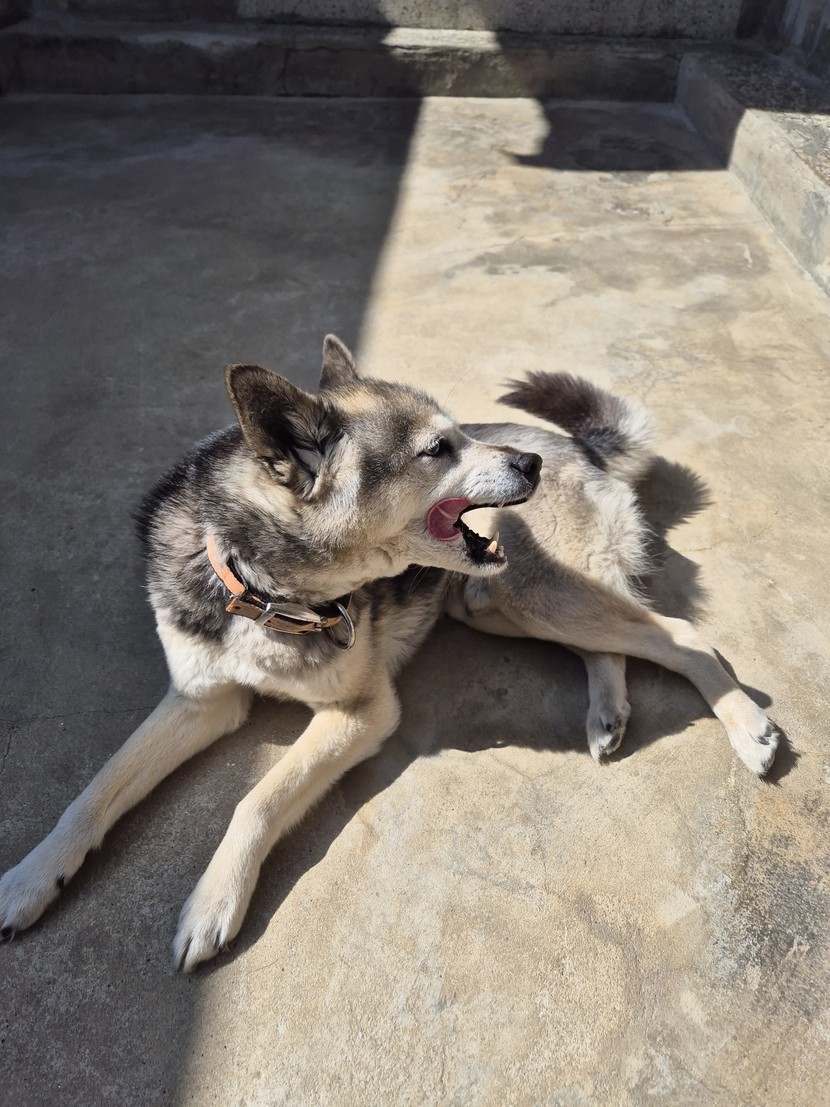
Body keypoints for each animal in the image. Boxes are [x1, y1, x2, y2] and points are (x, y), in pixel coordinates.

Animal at [0, 336, 780, 970]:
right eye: (438, 449)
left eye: (460, 433)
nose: (525, 464)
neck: (264, 584)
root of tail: (574, 444)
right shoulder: (199, 702)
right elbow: (94, 792)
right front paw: (32, 877)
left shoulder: (361, 712)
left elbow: (257, 798)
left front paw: (213, 902)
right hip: (497, 604)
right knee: (616, 643)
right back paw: (607, 715)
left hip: (520, 595)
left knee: (681, 636)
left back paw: (750, 731)